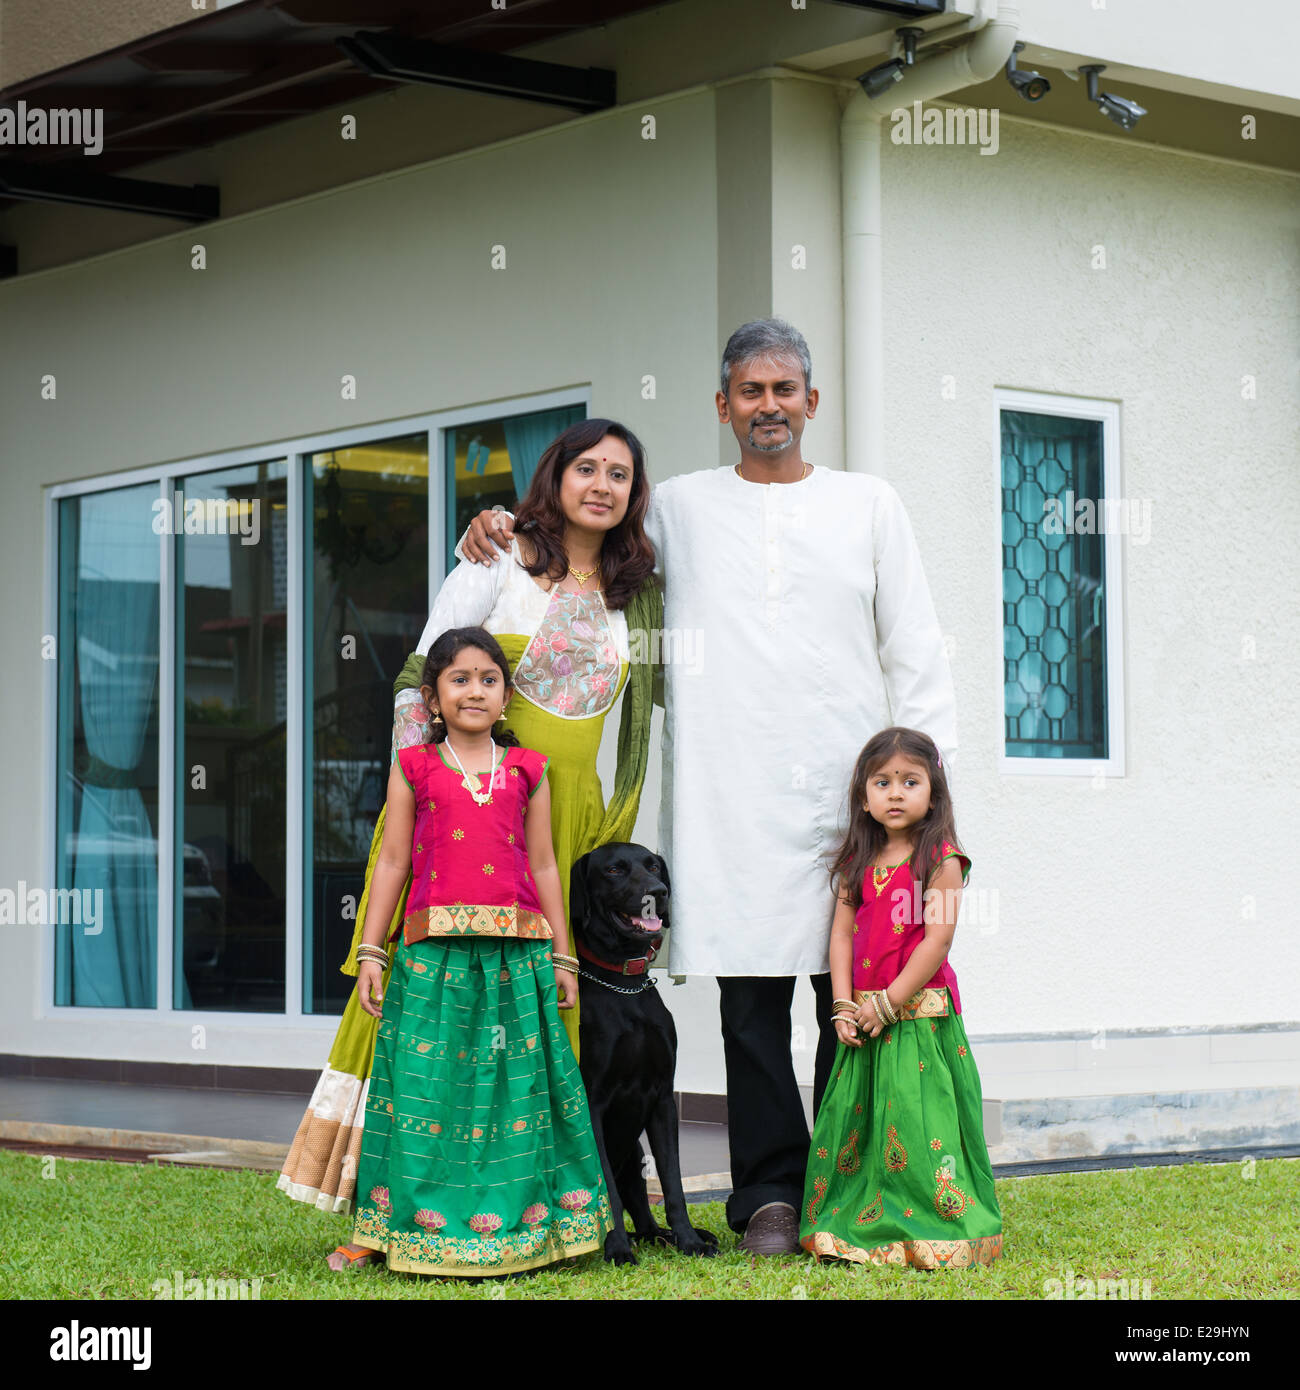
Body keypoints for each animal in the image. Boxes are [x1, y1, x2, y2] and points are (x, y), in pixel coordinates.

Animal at [572, 839, 722, 1267]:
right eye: (614, 870)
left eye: (653, 865)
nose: (659, 891)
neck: (625, 987)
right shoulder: (592, 1104)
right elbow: (606, 1190)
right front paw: (618, 1250)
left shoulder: (661, 1100)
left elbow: (673, 1184)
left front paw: (689, 1241)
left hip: (636, 1155)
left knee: (643, 1212)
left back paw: (666, 1236)